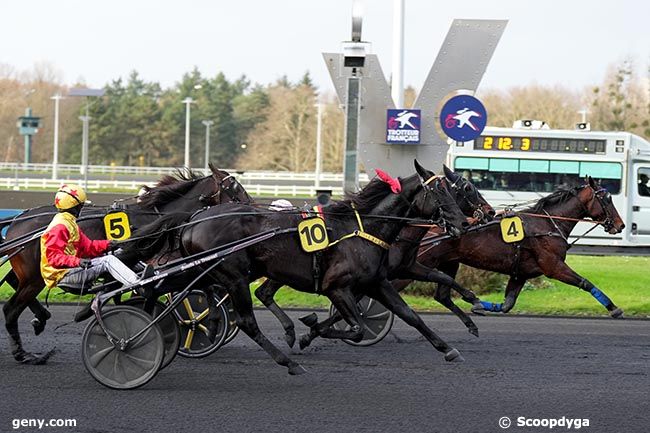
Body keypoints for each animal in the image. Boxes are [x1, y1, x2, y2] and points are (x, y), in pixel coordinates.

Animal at [0, 164, 251, 362]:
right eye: (235, 189)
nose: (252, 207)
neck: (156, 217)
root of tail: (18, 219)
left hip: (29, 275)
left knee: (13, 283)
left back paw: (40, 318)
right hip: (33, 277)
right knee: (11, 308)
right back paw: (24, 352)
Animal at [123, 160, 470, 372]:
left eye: (454, 191)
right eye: (438, 191)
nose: (461, 224)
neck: (362, 228)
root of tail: (196, 216)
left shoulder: (376, 283)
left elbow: (410, 315)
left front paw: (448, 348)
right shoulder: (336, 287)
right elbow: (356, 328)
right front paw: (309, 329)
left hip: (201, 271)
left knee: (156, 286)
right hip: (231, 275)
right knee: (246, 320)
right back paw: (287, 361)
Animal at [256, 164, 494, 346]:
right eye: (468, 188)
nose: (490, 212)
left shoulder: (405, 268)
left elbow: (441, 278)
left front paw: (473, 303)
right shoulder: (374, 278)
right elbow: (349, 311)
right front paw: (314, 331)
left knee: (263, 293)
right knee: (263, 292)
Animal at [390, 176, 624, 318]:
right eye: (606, 199)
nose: (620, 225)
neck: (547, 224)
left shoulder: (520, 273)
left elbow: (507, 304)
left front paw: (479, 305)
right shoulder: (553, 266)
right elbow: (585, 282)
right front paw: (614, 308)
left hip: (448, 262)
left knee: (440, 294)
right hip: (416, 264)